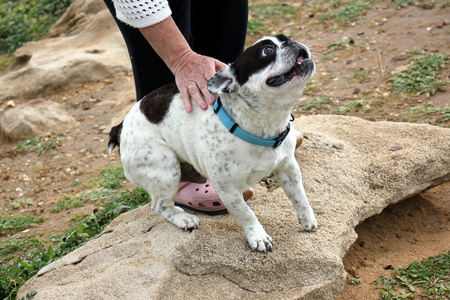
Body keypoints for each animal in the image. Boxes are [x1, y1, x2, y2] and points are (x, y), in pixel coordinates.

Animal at [110, 34, 316, 252]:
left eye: (286, 38)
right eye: (267, 51)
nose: (291, 43)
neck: (262, 127)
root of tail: (120, 126)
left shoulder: (288, 168)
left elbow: (299, 196)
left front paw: (307, 219)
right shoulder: (228, 190)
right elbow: (246, 213)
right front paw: (258, 237)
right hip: (164, 168)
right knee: (159, 205)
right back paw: (183, 218)